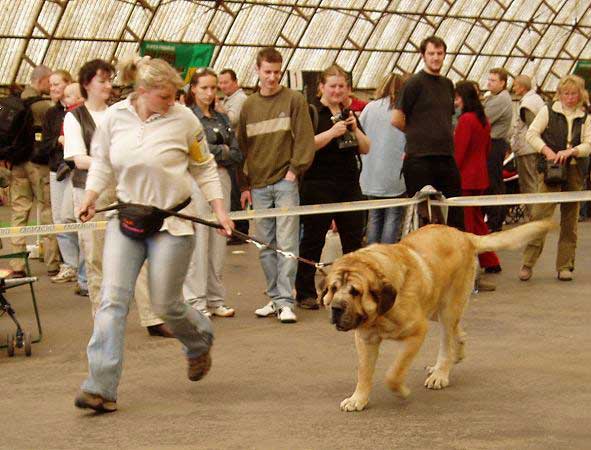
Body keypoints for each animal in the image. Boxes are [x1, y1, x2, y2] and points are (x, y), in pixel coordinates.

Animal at [322, 219, 552, 412]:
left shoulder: (417, 332)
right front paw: (358, 399)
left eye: (355, 292)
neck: (381, 313)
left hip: (447, 308)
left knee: (447, 340)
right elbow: (364, 372)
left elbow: (394, 373)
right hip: (437, 308)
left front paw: (402, 391)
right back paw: (453, 358)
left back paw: (440, 373)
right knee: (459, 332)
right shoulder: (365, 339)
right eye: (333, 289)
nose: (336, 308)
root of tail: (465, 235)